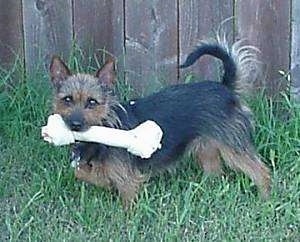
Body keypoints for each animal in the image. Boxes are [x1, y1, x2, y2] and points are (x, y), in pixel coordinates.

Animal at [48, 38, 270, 207]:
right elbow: (81, 173)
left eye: (92, 102)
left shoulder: (129, 180)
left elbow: (126, 202)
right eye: (67, 100)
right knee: (215, 172)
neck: (104, 127)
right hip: (207, 148)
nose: (75, 124)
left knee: (261, 171)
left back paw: (265, 199)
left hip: (233, 146)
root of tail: (225, 88)